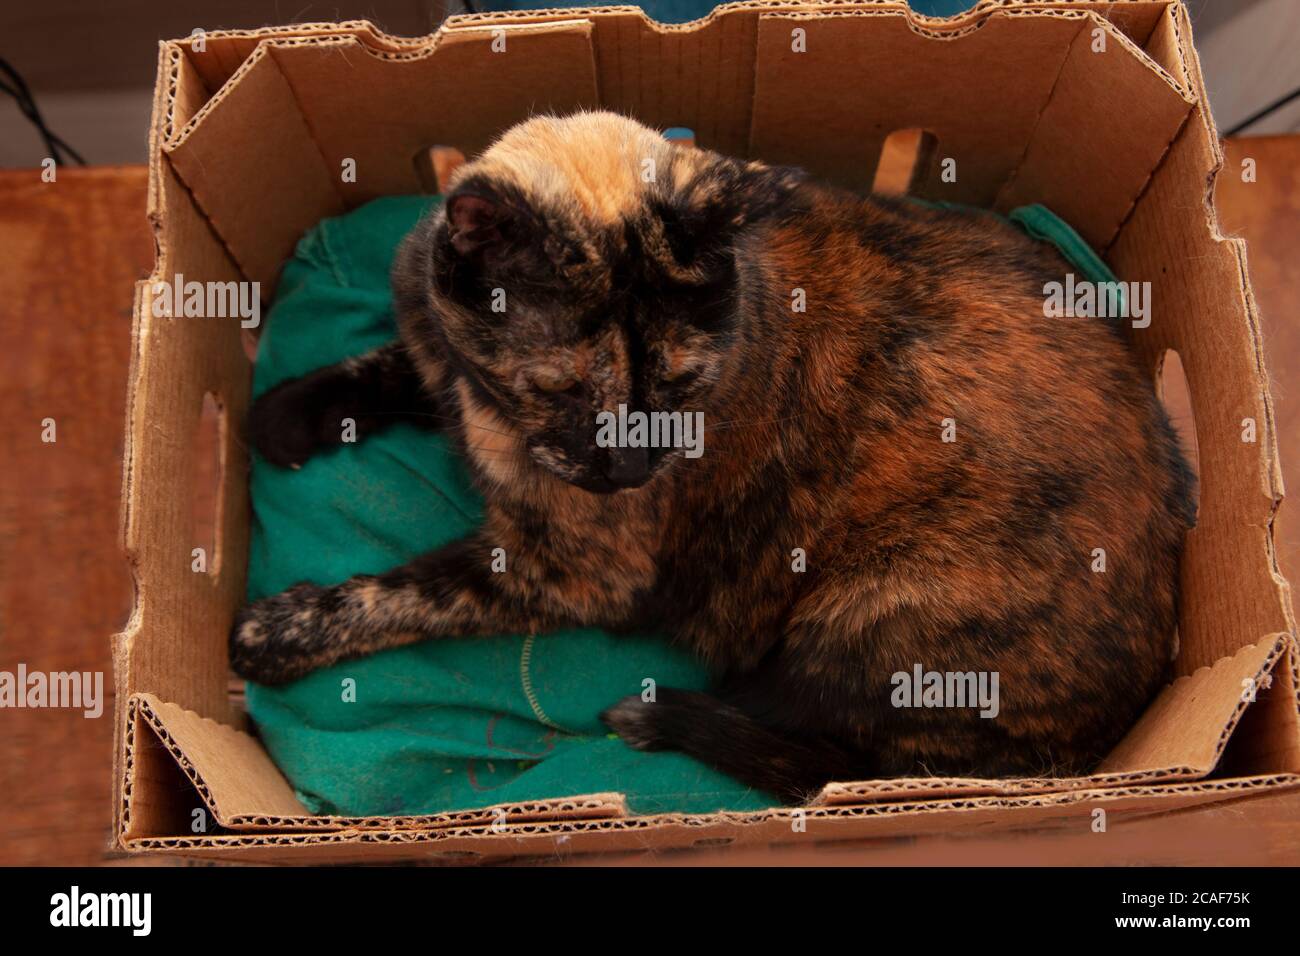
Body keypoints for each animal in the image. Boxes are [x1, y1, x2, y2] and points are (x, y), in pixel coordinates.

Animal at [231, 110, 1190, 801]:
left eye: (684, 385)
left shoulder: (575, 571)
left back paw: (668, 714)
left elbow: (409, 593)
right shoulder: (437, 348)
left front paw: (274, 633)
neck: (488, 407)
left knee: (828, 764)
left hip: (869, 613)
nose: (630, 472)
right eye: (563, 388)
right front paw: (283, 414)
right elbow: (397, 363)